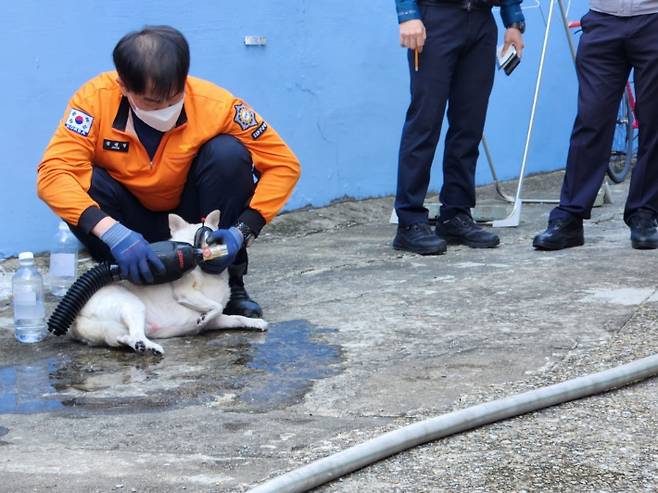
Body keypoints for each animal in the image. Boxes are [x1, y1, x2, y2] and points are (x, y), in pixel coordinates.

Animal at [70, 209, 266, 354]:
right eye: (186, 243)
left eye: (207, 240)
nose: (198, 253)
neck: (207, 274)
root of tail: (77, 320)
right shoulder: (186, 294)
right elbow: (216, 307)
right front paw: (204, 316)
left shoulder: (216, 321)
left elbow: (235, 317)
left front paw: (255, 322)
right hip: (133, 305)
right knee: (136, 333)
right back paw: (149, 347)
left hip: (115, 329)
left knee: (125, 337)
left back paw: (142, 346)